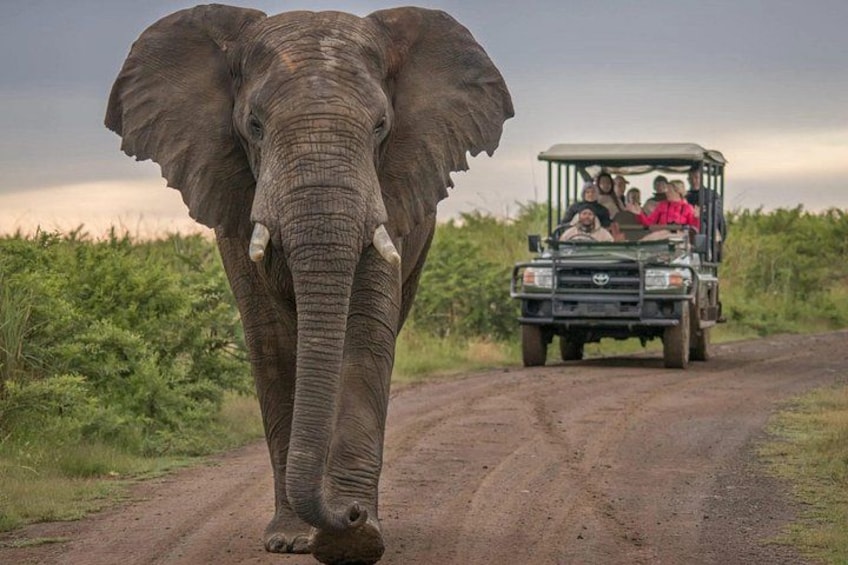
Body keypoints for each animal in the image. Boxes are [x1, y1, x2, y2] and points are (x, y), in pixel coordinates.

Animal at [105, 4, 512, 565]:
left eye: (381, 126)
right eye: (254, 126)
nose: (351, 513)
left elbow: (365, 336)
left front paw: (355, 539)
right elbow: (273, 342)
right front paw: (296, 540)